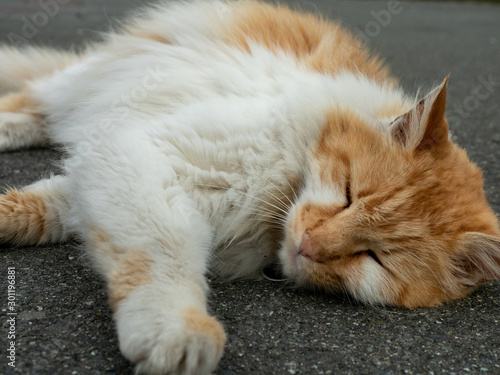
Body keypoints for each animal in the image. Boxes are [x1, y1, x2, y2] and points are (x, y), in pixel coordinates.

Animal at [0, 0, 500, 375]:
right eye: (348, 193)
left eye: (375, 257)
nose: (310, 244)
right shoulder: (146, 152)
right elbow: (164, 251)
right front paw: (179, 328)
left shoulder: (112, 160)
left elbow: (42, 206)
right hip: (83, 83)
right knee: (31, 100)